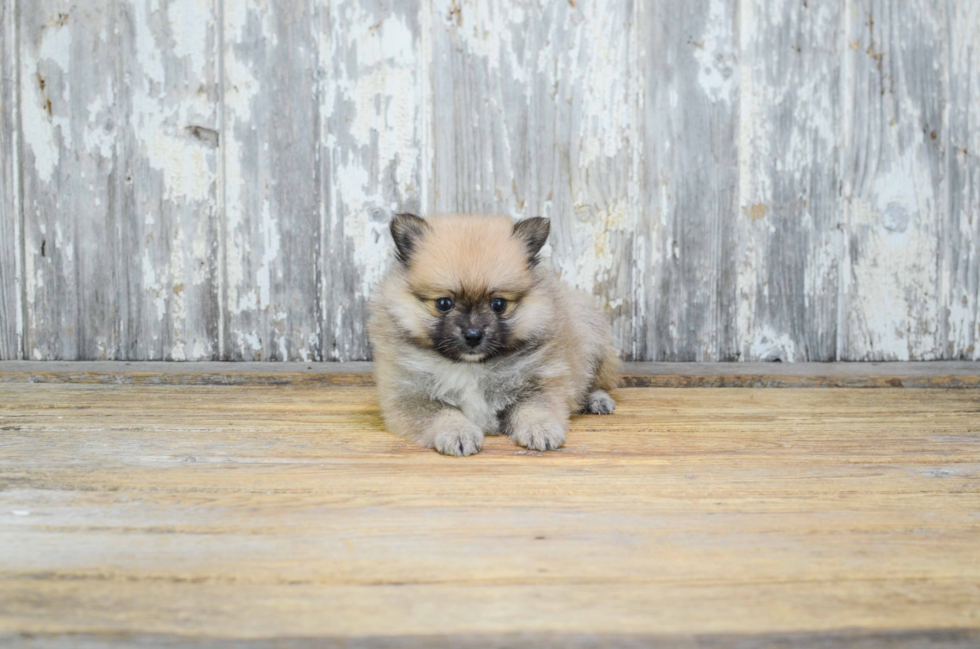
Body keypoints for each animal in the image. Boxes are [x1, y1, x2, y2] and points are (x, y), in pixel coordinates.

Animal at [368, 213, 620, 456]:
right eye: (443, 303)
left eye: (498, 304)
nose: (473, 334)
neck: (469, 367)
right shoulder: (411, 396)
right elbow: (444, 413)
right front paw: (458, 433)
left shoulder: (540, 383)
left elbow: (535, 409)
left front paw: (541, 429)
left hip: (593, 339)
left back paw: (596, 400)